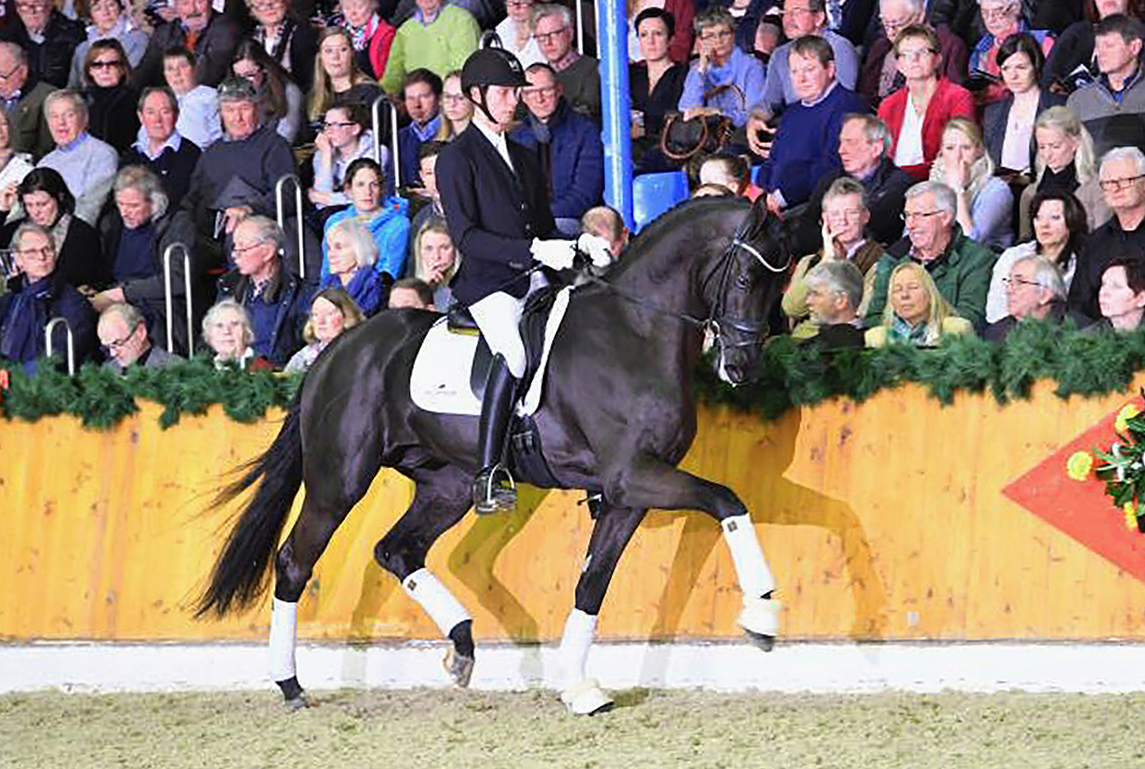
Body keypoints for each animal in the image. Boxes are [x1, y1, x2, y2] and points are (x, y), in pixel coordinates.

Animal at [196, 195, 792, 714]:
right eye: (746, 278)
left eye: (779, 285)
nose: (743, 367)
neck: (634, 331)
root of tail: (336, 351)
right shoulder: (632, 475)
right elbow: (726, 500)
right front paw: (762, 615)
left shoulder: (628, 492)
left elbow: (592, 582)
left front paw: (578, 687)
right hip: (338, 482)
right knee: (296, 561)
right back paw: (290, 684)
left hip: (447, 486)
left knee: (397, 550)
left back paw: (461, 647)